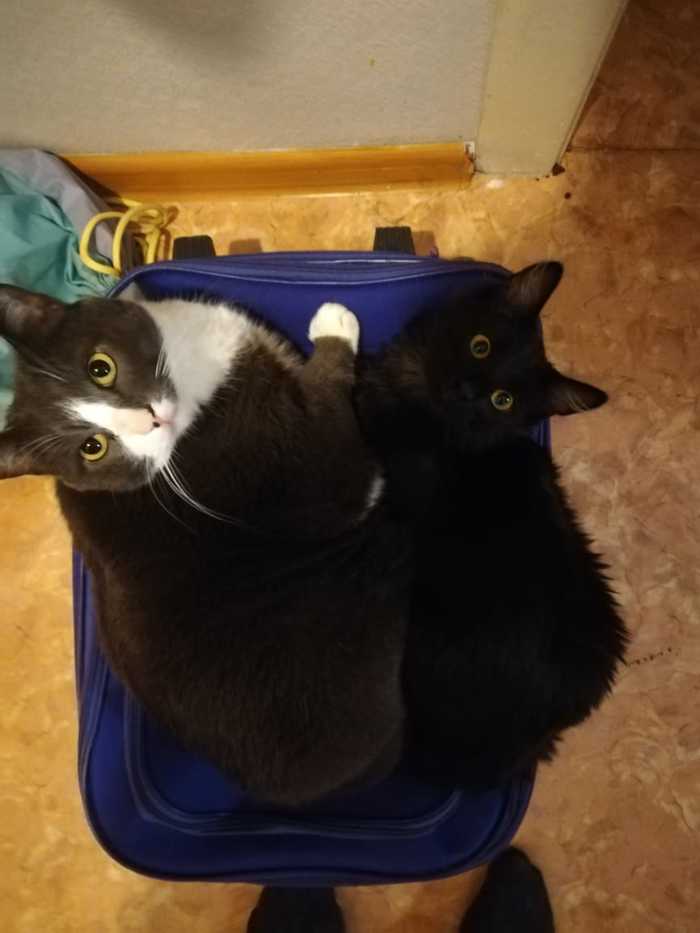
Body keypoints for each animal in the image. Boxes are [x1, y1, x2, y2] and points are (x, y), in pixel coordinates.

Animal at [0, 286, 411, 806]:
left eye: (100, 367)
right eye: (93, 447)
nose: (151, 420)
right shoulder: (320, 468)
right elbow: (332, 410)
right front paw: (333, 323)